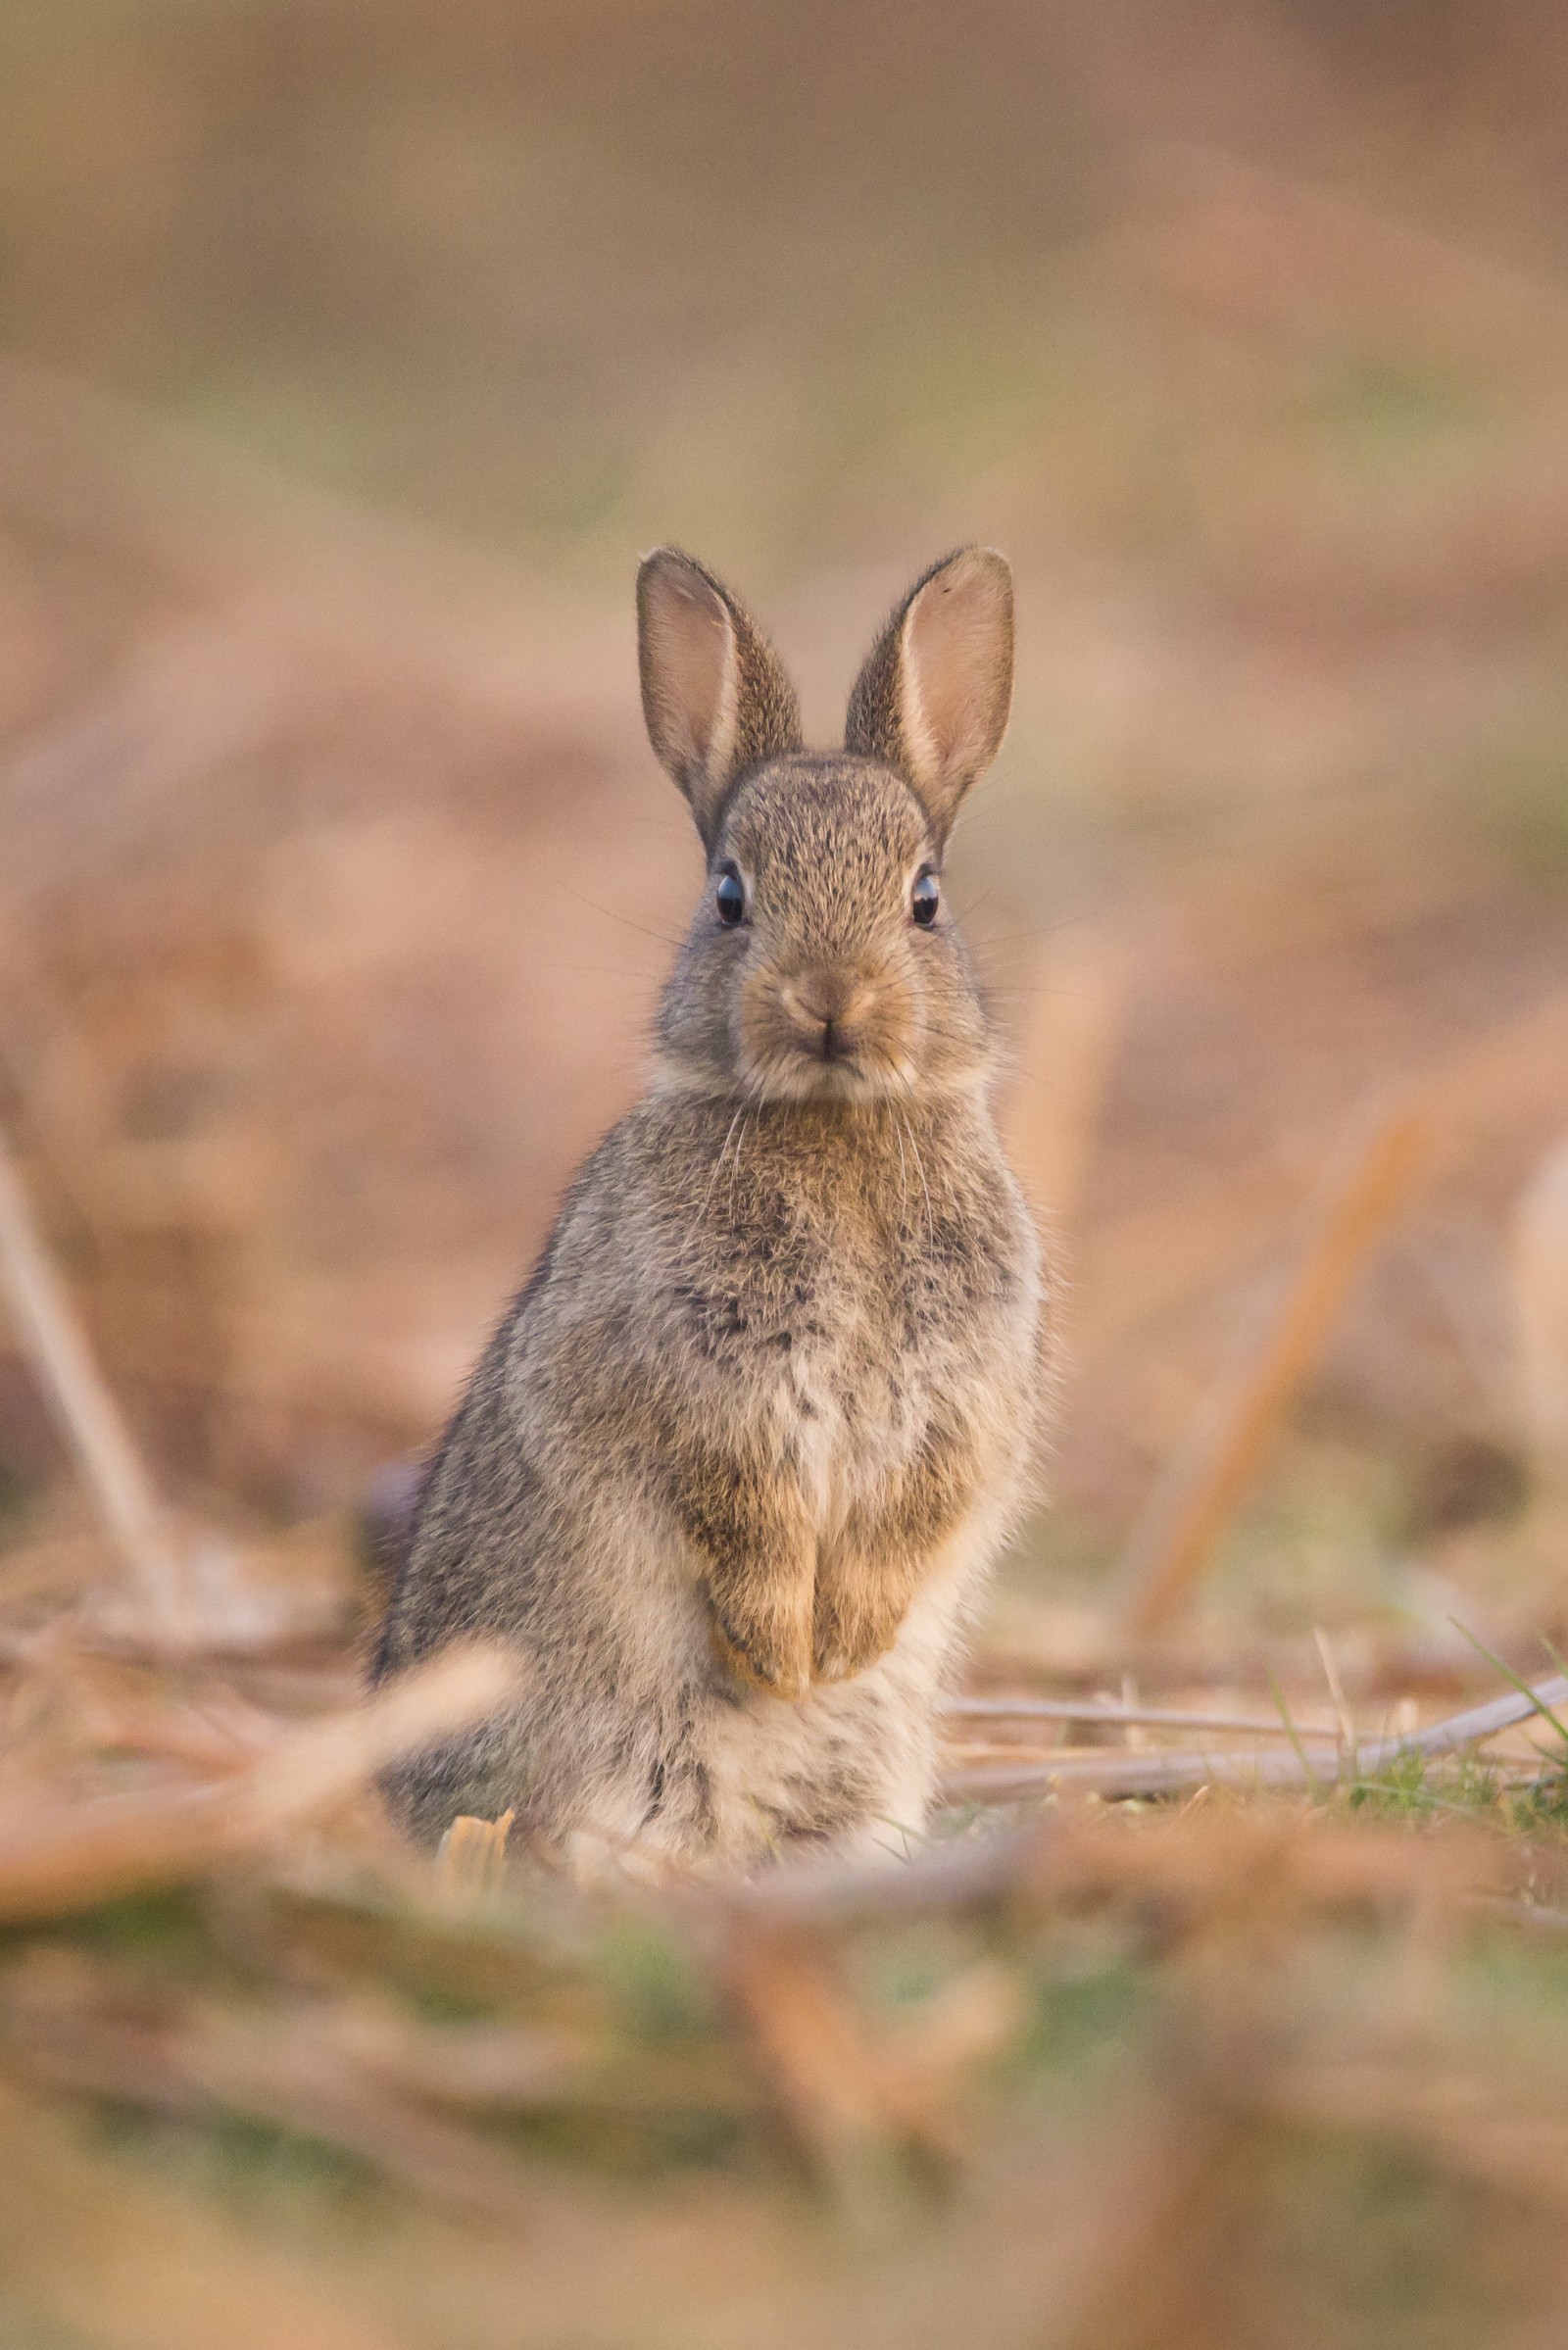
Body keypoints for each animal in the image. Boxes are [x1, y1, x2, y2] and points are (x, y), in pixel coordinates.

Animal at [373, 545, 1048, 1870]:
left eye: (925, 899)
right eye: (731, 895)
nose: (830, 999)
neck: (833, 1122)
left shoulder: (962, 1392)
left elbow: (915, 1507)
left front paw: (841, 1644)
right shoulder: (699, 1382)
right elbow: (741, 1511)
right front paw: (785, 1653)